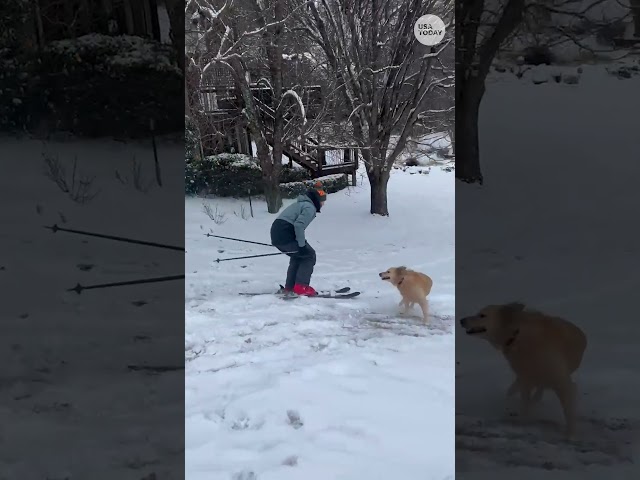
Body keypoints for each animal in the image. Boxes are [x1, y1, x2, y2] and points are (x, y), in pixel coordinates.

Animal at [460, 304, 584, 438]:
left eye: (482, 315)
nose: (461, 320)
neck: (516, 336)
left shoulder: (562, 381)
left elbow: (568, 409)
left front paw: (571, 434)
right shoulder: (526, 378)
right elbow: (524, 403)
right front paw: (523, 422)